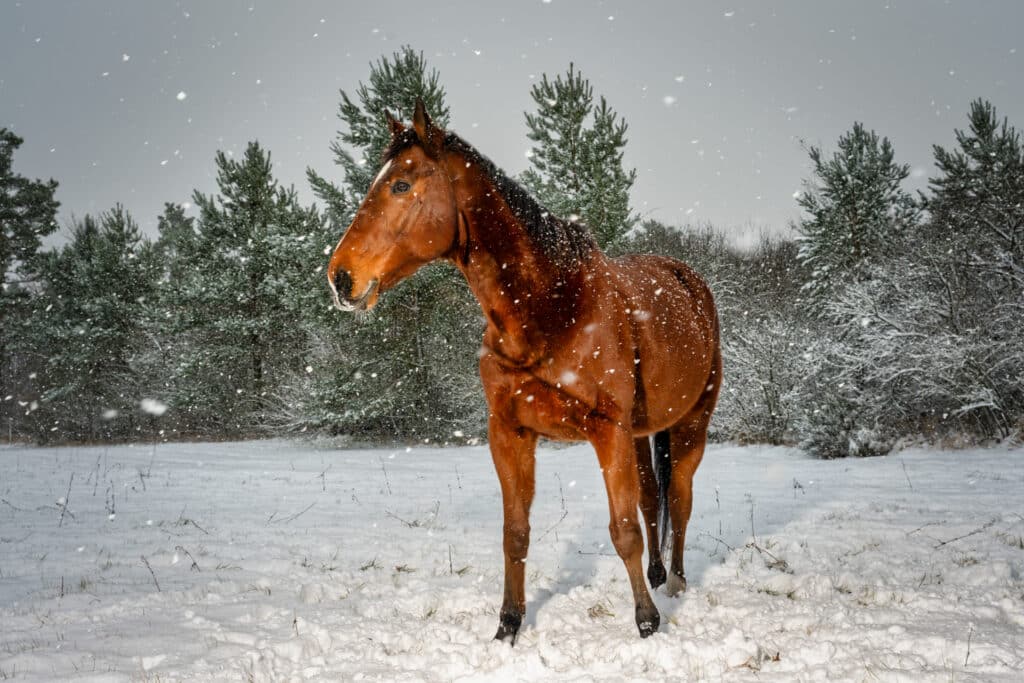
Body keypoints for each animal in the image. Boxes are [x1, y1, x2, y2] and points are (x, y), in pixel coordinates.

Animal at [327, 99, 721, 643]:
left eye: (401, 185)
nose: (340, 277)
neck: (552, 309)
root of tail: (688, 281)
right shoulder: (511, 432)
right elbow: (516, 534)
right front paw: (507, 626)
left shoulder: (607, 431)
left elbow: (623, 531)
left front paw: (646, 623)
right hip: (642, 434)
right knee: (651, 498)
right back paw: (660, 577)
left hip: (690, 425)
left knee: (679, 499)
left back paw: (677, 584)